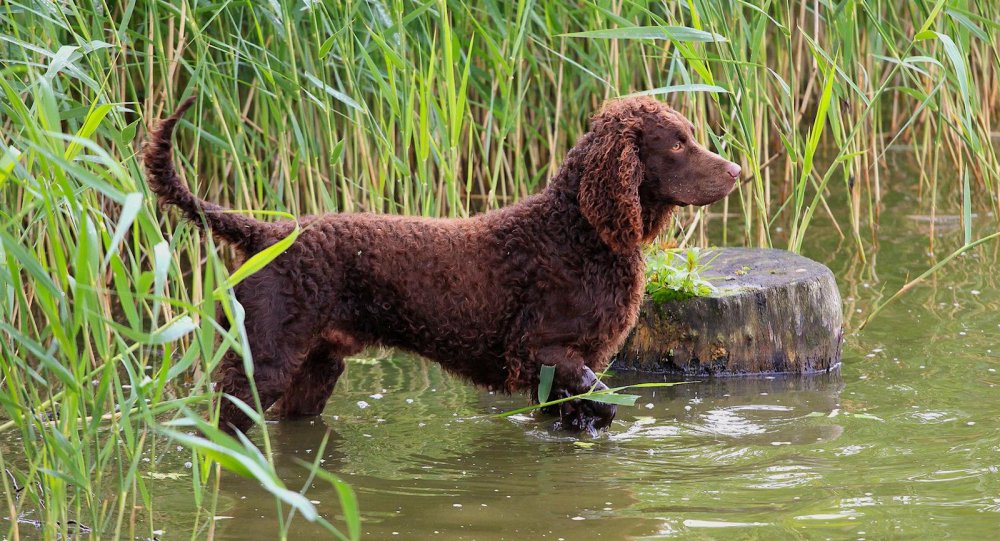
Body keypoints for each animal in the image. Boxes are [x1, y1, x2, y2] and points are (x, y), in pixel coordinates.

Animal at [146, 95, 744, 436]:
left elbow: (582, 410)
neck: (578, 231)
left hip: (315, 370)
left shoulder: (563, 368)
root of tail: (266, 233)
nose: (738, 171)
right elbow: (606, 403)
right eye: (677, 144)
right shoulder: (543, 351)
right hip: (262, 363)